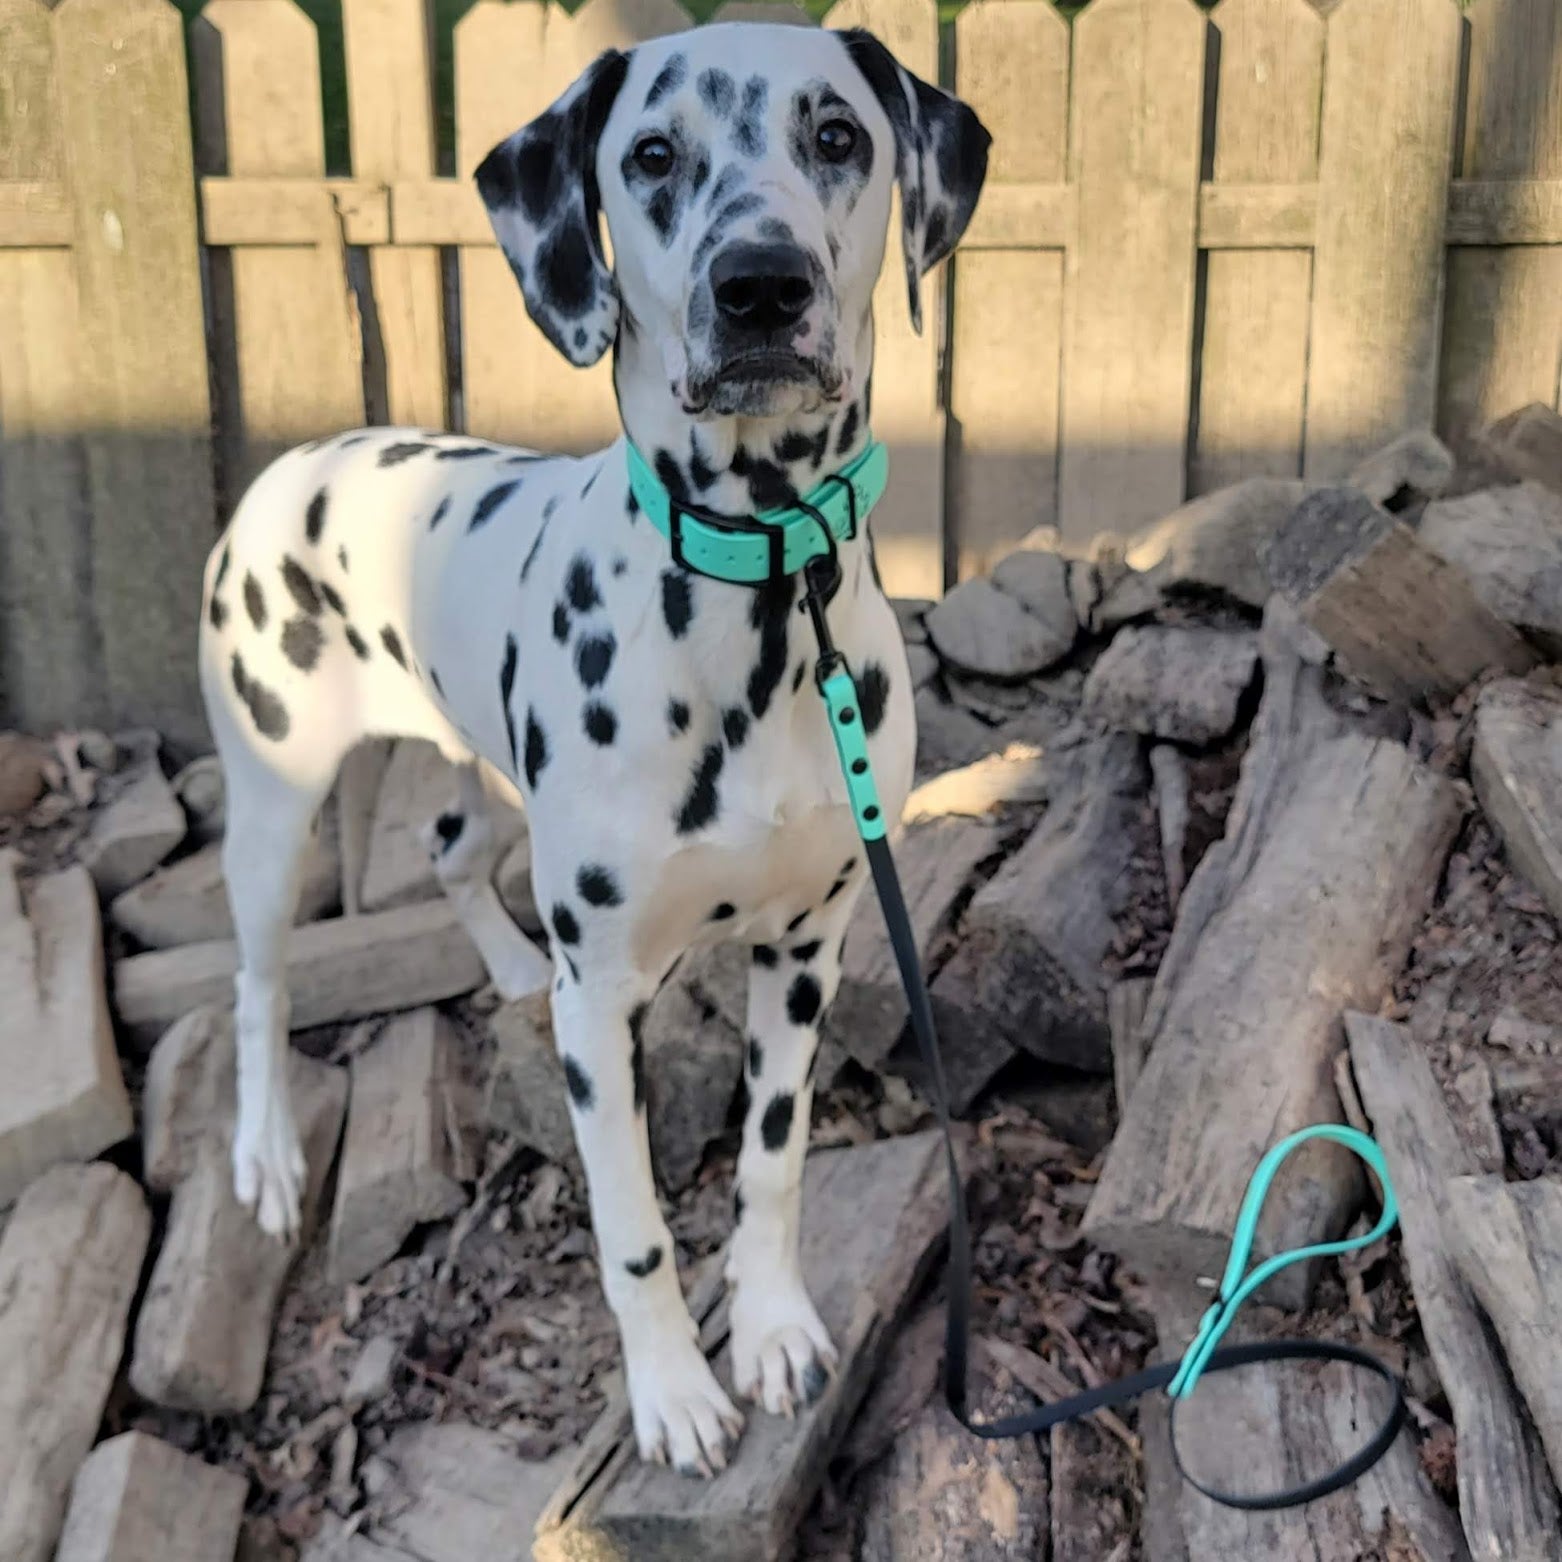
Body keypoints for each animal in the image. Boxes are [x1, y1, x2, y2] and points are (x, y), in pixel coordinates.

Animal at [198, 24, 987, 1480]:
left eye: (837, 134)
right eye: (652, 155)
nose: (759, 284)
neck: (757, 599)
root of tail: (290, 467)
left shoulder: (806, 946)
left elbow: (771, 1161)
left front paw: (772, 1325)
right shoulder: (607, 1004)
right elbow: (631, 1230)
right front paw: (672, 1391)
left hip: (490, 778)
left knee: (452, 848)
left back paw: (511, 965)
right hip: (271, 804)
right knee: (258, 985)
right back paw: (267, 1154)